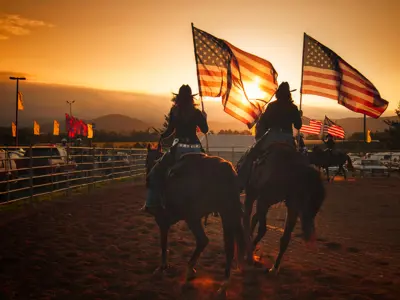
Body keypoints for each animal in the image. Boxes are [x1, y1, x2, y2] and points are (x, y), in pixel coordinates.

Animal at [145, 144, 245, 292]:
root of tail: (226, 168)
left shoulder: (162, 220)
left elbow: (163, 243)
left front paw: (162, 266)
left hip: (193, 218)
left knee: (203, 240)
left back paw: (190, 269)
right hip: (227, 213)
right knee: (229, 246)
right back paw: (225, 280)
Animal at [236, 143, 326, 274]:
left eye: (317, 206)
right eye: (308, 199)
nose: (310, 235)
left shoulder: (292, 207)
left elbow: (285, 238)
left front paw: (274, 268)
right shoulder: (263, 200)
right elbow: (262, 229)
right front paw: (250, 253)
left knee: (253, 217)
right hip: (252, 193)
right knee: (247, 215)